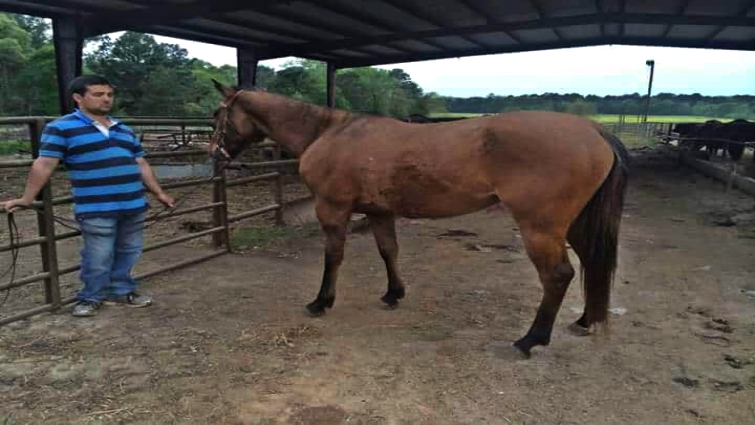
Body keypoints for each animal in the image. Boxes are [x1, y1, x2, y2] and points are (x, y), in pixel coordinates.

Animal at [208, 79, 630, 358]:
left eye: (217, 114)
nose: (214, 153)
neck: (328, 132)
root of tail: (594, 130)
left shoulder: (332, 209)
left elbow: (333, 256)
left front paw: (321, 302)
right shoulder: (379, 212)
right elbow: (388, 251)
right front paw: (393, 294)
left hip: (540, 229)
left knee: (558, 276)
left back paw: (531, 340)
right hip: (575, 226)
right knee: (591, 264)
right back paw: (585, 321)